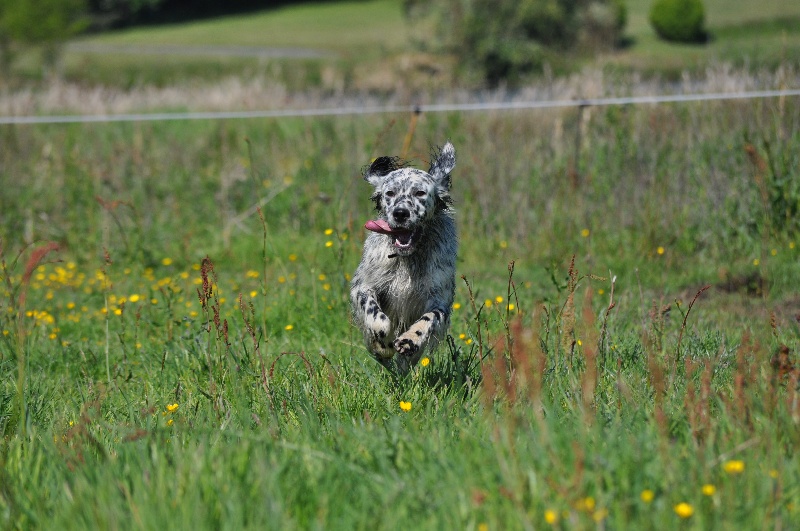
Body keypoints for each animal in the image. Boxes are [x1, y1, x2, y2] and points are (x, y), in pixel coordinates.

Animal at [350, 142, 456, 374]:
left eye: (420, 192)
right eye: (390, 192)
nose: (400, 213)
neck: (407, 258)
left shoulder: (440, 299)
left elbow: (430, 318)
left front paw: (410, 340)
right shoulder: (363, 286)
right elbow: (375, 315)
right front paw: (384, 341)